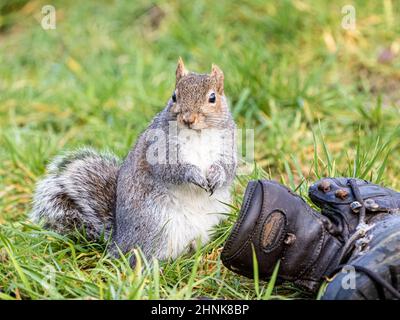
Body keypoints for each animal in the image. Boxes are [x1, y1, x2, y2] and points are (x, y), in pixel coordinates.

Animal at [32, 58, 238, 264]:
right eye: (174, 96)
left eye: (212, 98)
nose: (188, 119)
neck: (198, 134)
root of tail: (118, 242)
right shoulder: (159, 148)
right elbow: (170, 169)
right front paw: (194, 175)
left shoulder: (229, 144)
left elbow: (229, 168)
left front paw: (217, 175)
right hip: (157, 226)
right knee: (141, 257)